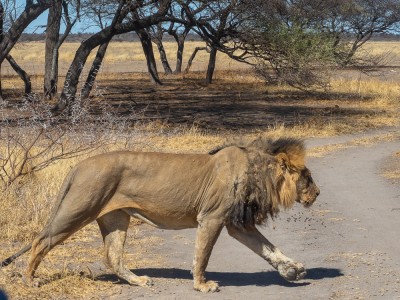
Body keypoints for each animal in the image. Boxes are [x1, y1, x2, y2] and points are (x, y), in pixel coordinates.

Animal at [0, 137, 318, 292]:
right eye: (308, 177)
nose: (317, 193)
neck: (258, 172)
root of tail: (79, 165)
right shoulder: (212, 217)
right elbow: (202, 254)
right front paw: (202, 285)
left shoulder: (236, 224)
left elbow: (268, 248)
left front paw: (293, 269)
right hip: (79, 208)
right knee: (41, 241)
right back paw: (29, 280)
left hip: (116, 218)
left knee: (112, 257)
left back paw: (139, 281)